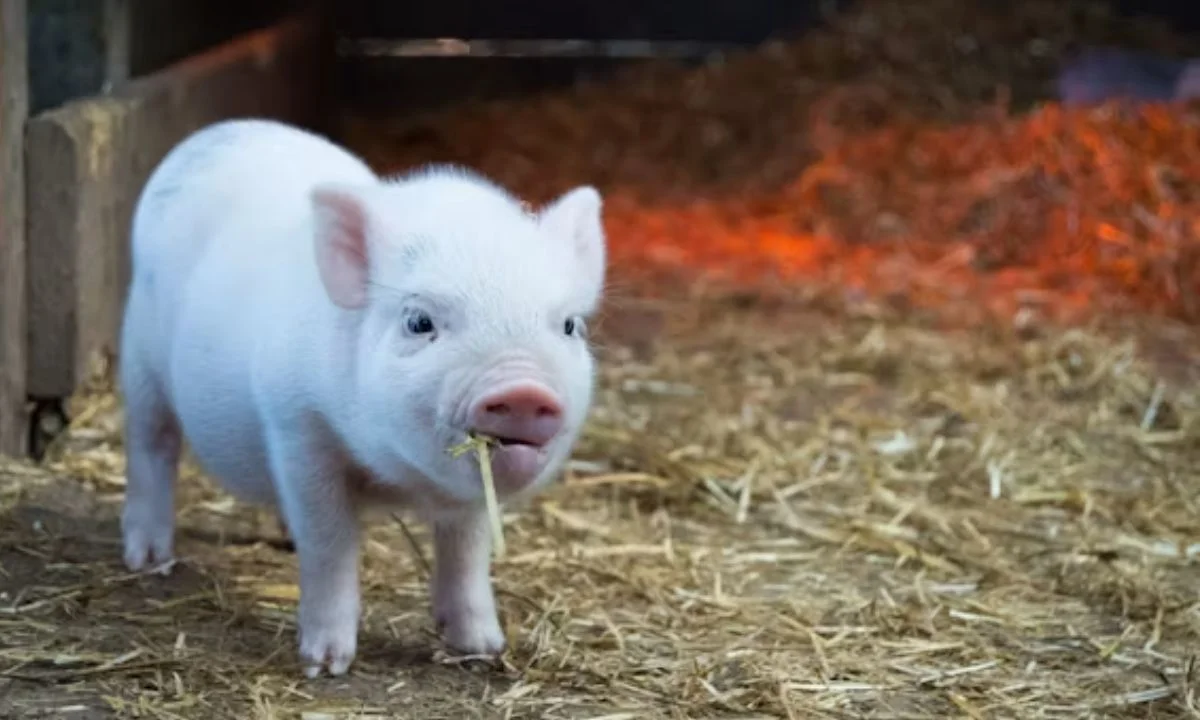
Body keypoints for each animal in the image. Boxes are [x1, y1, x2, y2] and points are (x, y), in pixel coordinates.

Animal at [117, 118, 606, 678]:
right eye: (419, 321)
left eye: (569, 326)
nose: (523, 389)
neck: (397, 478)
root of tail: (219, 131)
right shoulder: (296, 427)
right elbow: (330, 543)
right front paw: (325, 665)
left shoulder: (466, 498)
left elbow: (466, 552)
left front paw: (483, 648)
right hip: (139, 357)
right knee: (151, 444)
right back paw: (148, 560)